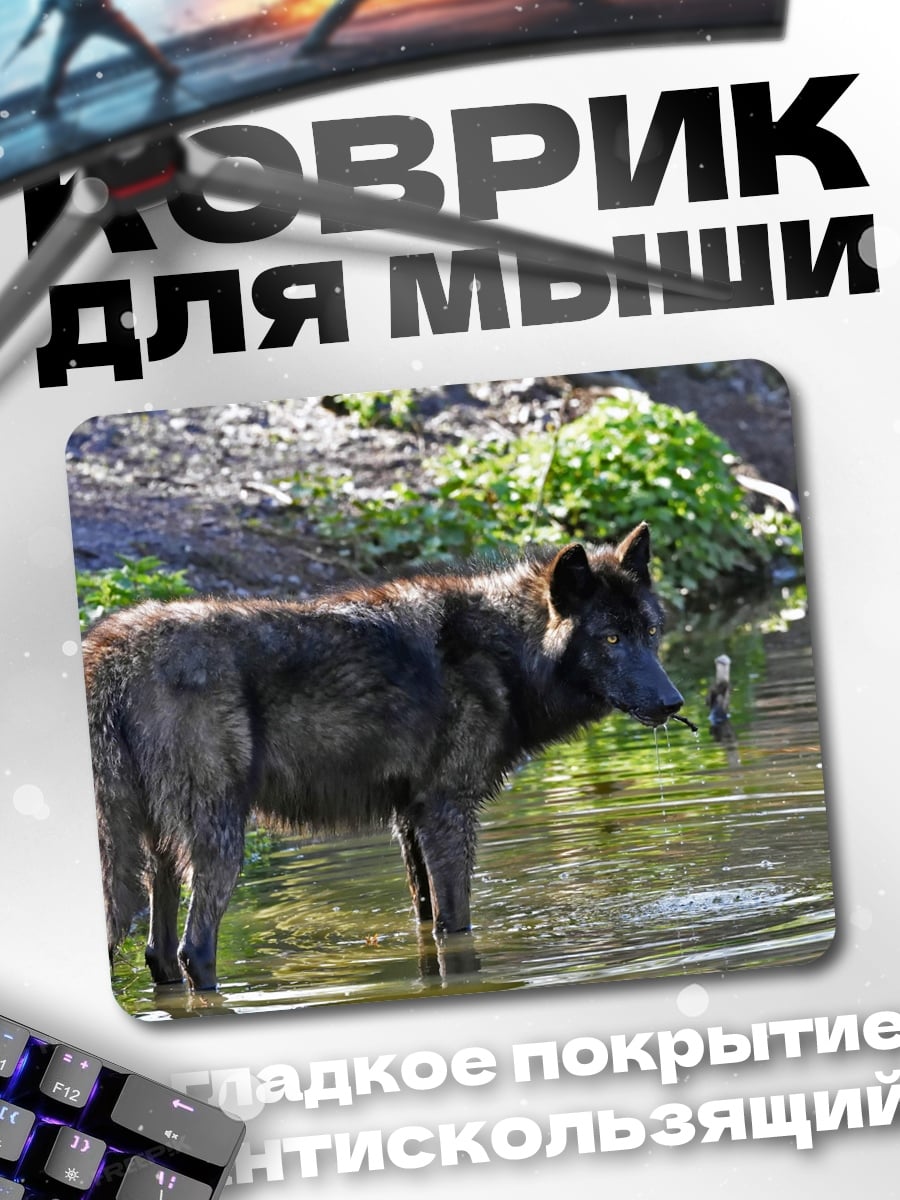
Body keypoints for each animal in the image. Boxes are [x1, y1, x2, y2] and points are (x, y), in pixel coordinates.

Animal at [82, 521, 683, 991]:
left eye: (651, 631)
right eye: (610, 640)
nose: (672, 701)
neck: (504, 652)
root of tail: (110, 653)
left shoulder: (408, 817)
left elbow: (424, 918)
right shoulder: (447, 812)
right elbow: (454, 923)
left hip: (156, 849)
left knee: (158, 954)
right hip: (221, 839)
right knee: (195, 950)